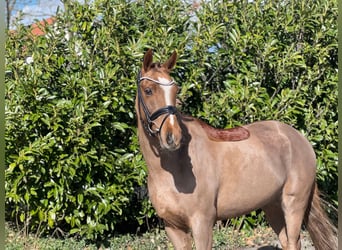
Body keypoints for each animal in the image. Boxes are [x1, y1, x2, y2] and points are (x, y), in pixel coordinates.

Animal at [134, 48, 336, 250]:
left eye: (175, 90)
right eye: (148, 90)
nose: (172, 137)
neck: (173, 168)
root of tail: (300, 139)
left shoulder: (202, 223)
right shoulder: (173, 227)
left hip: (293, 204)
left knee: (294, 241)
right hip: (272, 205)